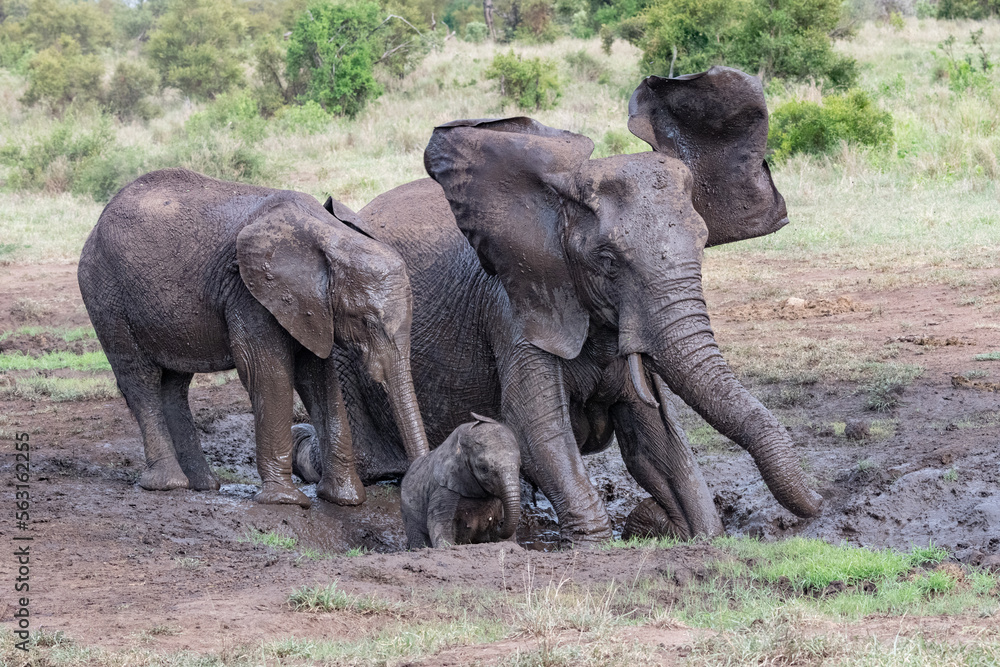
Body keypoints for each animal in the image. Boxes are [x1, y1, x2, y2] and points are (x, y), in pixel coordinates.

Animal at [77, 168, 430, 508]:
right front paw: (286, 501)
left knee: (174, 385)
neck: (328, 234)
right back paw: (168, 484)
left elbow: (319, 378)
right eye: (366, 321)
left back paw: (202, 485)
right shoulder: (249, 292)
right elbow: (267, 374)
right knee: (141, 378)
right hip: (105, 292)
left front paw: (345, 499)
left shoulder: (310, 307)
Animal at [400, 414, 521, 548]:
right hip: (409, 512)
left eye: (519, 465)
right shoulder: (444, 489)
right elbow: (439, 524)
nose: (500, 523)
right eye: (484, 469)